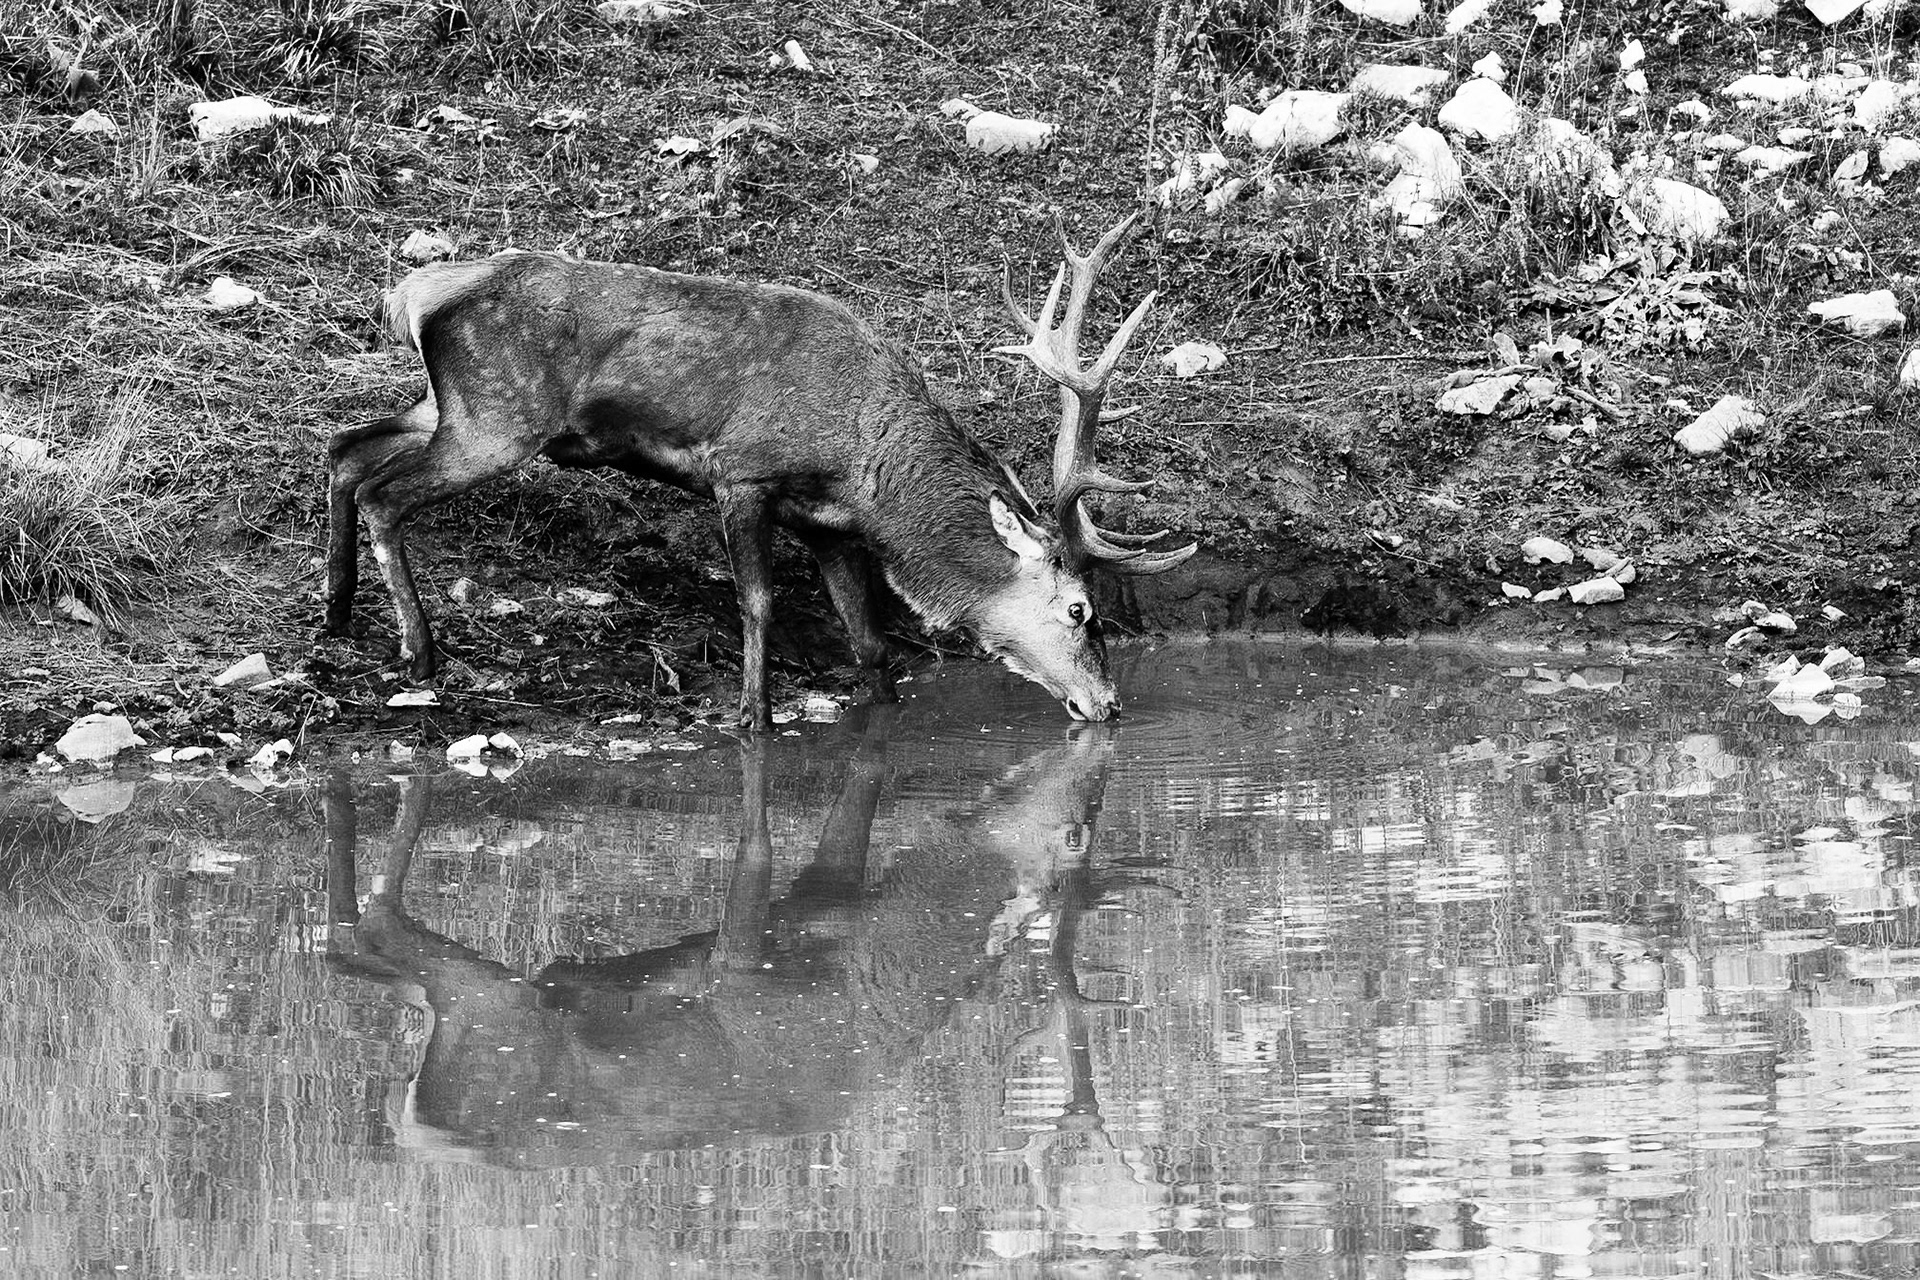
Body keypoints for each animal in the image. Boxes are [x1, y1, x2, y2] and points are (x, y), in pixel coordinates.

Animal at [321, 214, 1193, 732]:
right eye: (1080, 610)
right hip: (499, 418)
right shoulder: (741, 475)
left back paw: (336, 611)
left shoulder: (831, 528)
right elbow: (759, 602)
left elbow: (869, 641)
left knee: (344, 449)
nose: (1108, 705)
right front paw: (754, 718)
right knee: (383, 493)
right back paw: (418, 653)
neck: (862, 465)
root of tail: (420, 289)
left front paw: (875, 715)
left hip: (451, 407)